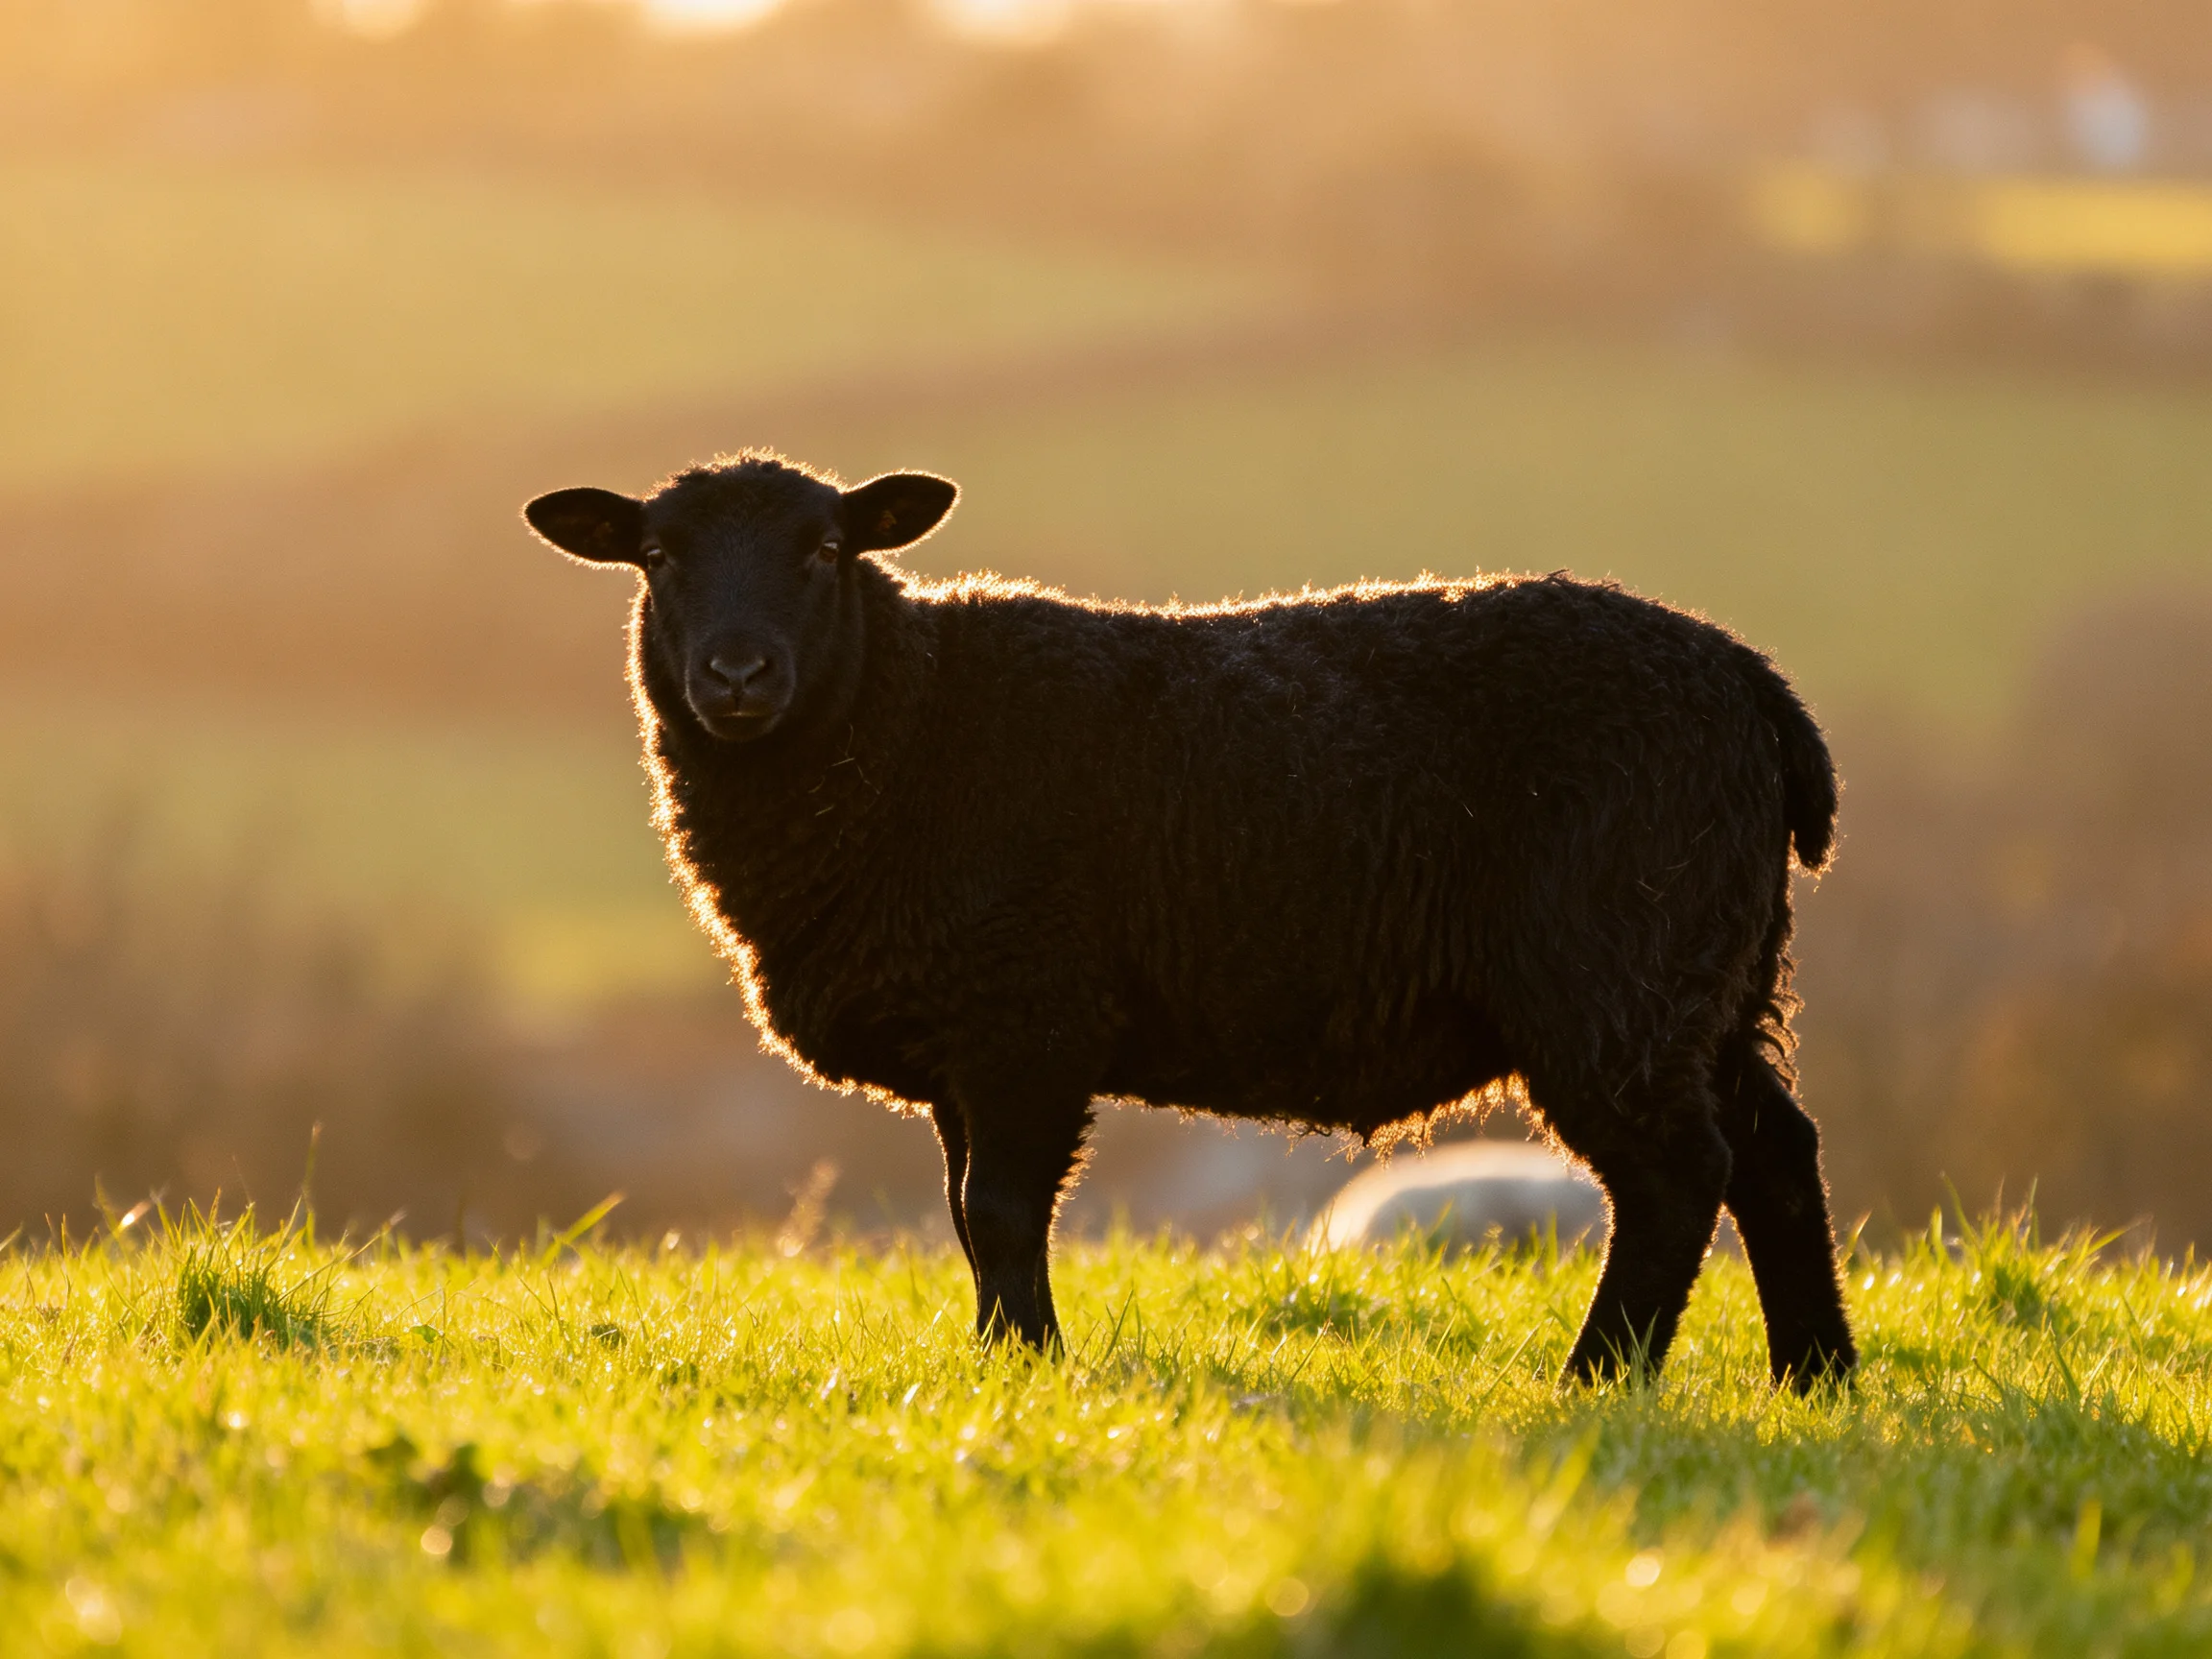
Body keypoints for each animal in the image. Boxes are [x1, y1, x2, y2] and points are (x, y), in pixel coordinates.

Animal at [523, 451, 1857, 1389]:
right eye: (657, 554)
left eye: (824, 548)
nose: (737, 676)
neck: (905, 720)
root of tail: (1757, 688)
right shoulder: (967, 1037)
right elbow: (965, 1218)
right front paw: (999, 1366)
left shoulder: (1028, 1018)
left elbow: (997, 1212)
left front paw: (1032, 1370)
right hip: (1712, 977)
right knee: (1777, 1153)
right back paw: (1815, 1381)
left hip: (1616, 973)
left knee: (1679, 1175)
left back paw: (1597, 1381)